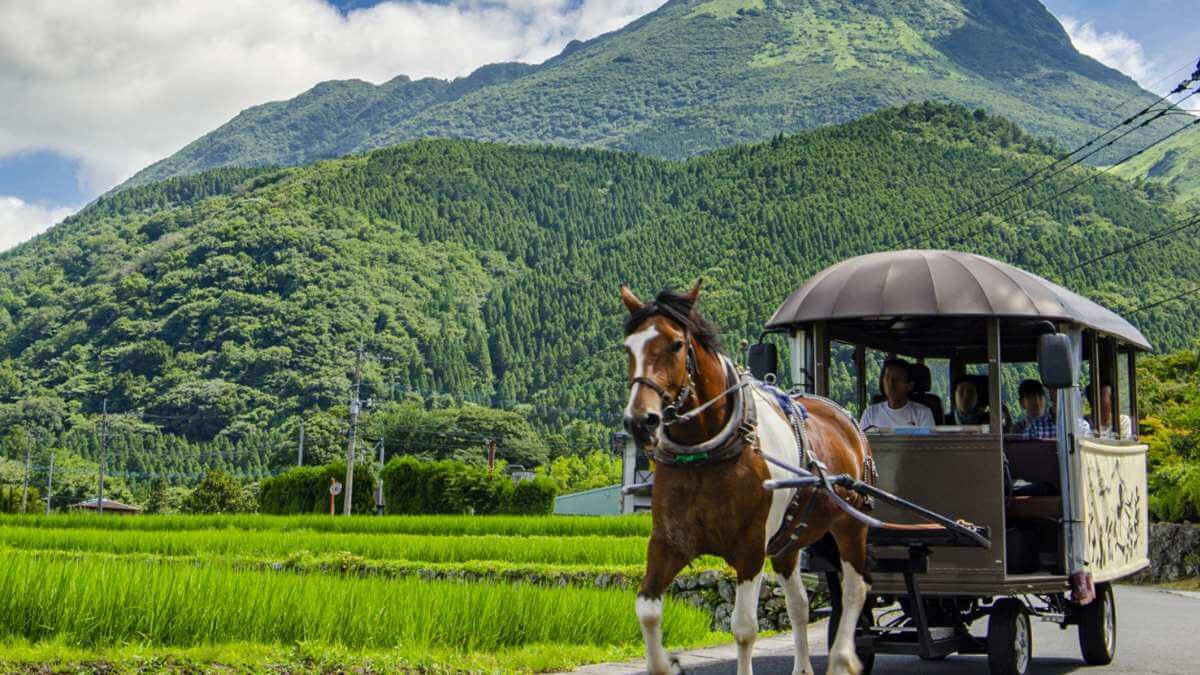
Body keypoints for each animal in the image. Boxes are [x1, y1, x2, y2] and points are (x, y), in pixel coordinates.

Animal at [619, 279, 873, 672]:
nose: (639, 421)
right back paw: (803, 666)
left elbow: (743, 629)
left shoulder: (750, 546)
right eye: (628, 347)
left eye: (676, 344)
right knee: (799, 603)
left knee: (854, 590)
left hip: (850, 522)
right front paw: (668, 662)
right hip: (788, 540)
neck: (707, 454)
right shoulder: (667, 541)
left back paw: (843, 658)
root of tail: (844, 418)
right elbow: (646, 610)